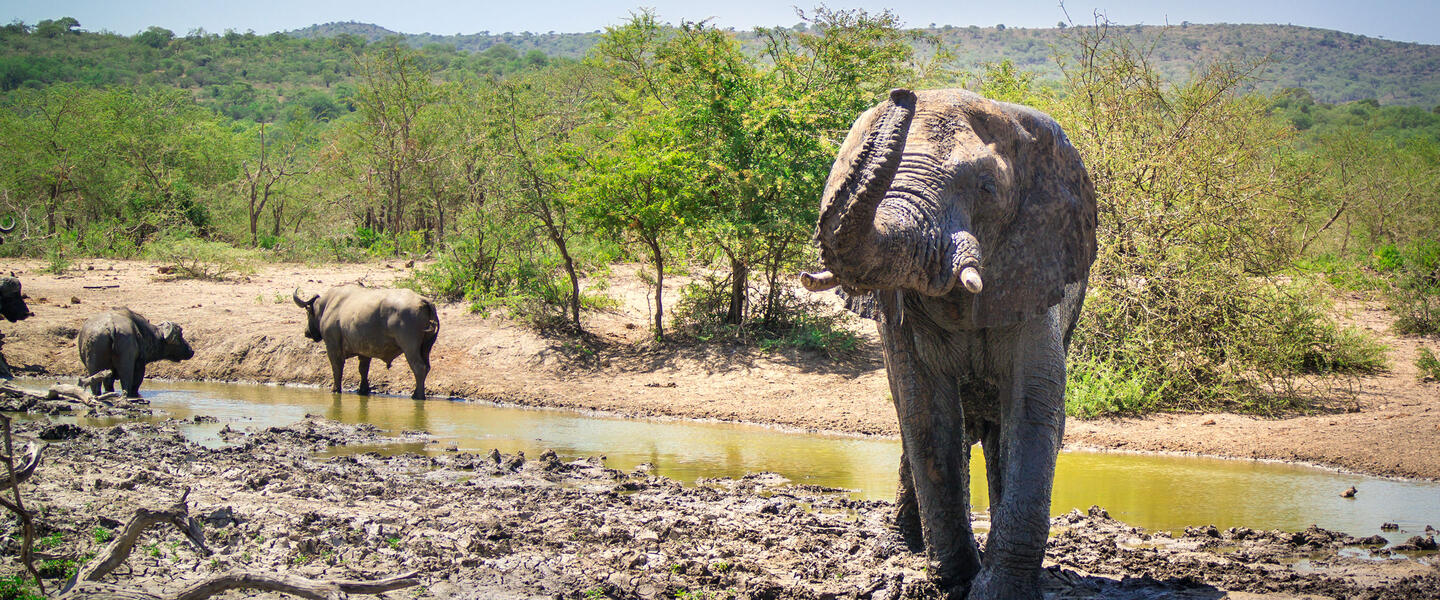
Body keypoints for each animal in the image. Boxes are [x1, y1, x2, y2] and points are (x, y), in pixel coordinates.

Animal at [292, 283, 437, 397]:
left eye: (307, 312)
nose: (306, 332)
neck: (329, 306)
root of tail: (423, 301)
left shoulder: (333, 348)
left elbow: (337, 368)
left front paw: (335, 389)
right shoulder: (365, 351)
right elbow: (363, 370)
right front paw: (363, 389)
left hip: (410, 348)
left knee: (419, 368)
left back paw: (417, 395)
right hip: (426, 347)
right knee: (426, 367)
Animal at [800, 86, 1100, 595]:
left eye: (986, 188)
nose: (901, 95)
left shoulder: (1037, 270)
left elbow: (1034, 405)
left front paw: (999, 592)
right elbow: (925, 411)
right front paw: (955, 583)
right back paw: (904, 546)